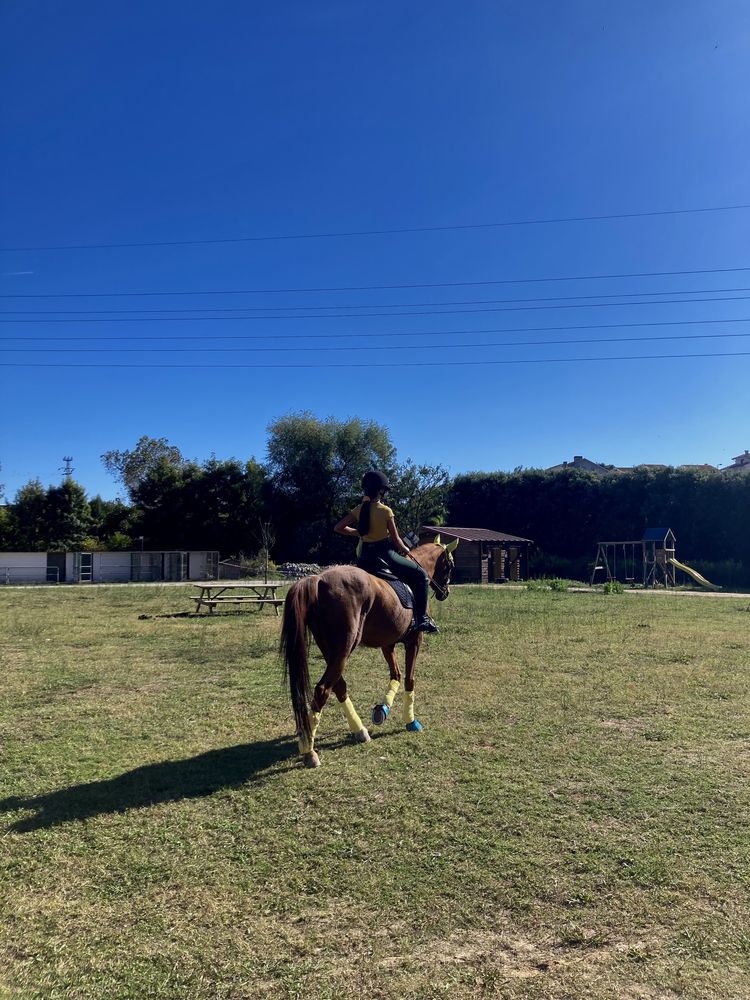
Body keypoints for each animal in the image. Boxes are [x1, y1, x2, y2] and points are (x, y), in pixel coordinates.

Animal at [280, 540, 458, 764]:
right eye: (450, 566)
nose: (445, 592)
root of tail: (318, 580)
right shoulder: (414, 641)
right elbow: (409, 679)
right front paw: (410, 721)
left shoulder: (388, 645)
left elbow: (396, 675)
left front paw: (383, 710)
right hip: (344, 648)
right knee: (323, 689)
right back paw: (309, 751)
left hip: (333, 651)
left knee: (338, 686)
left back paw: (359, 731)